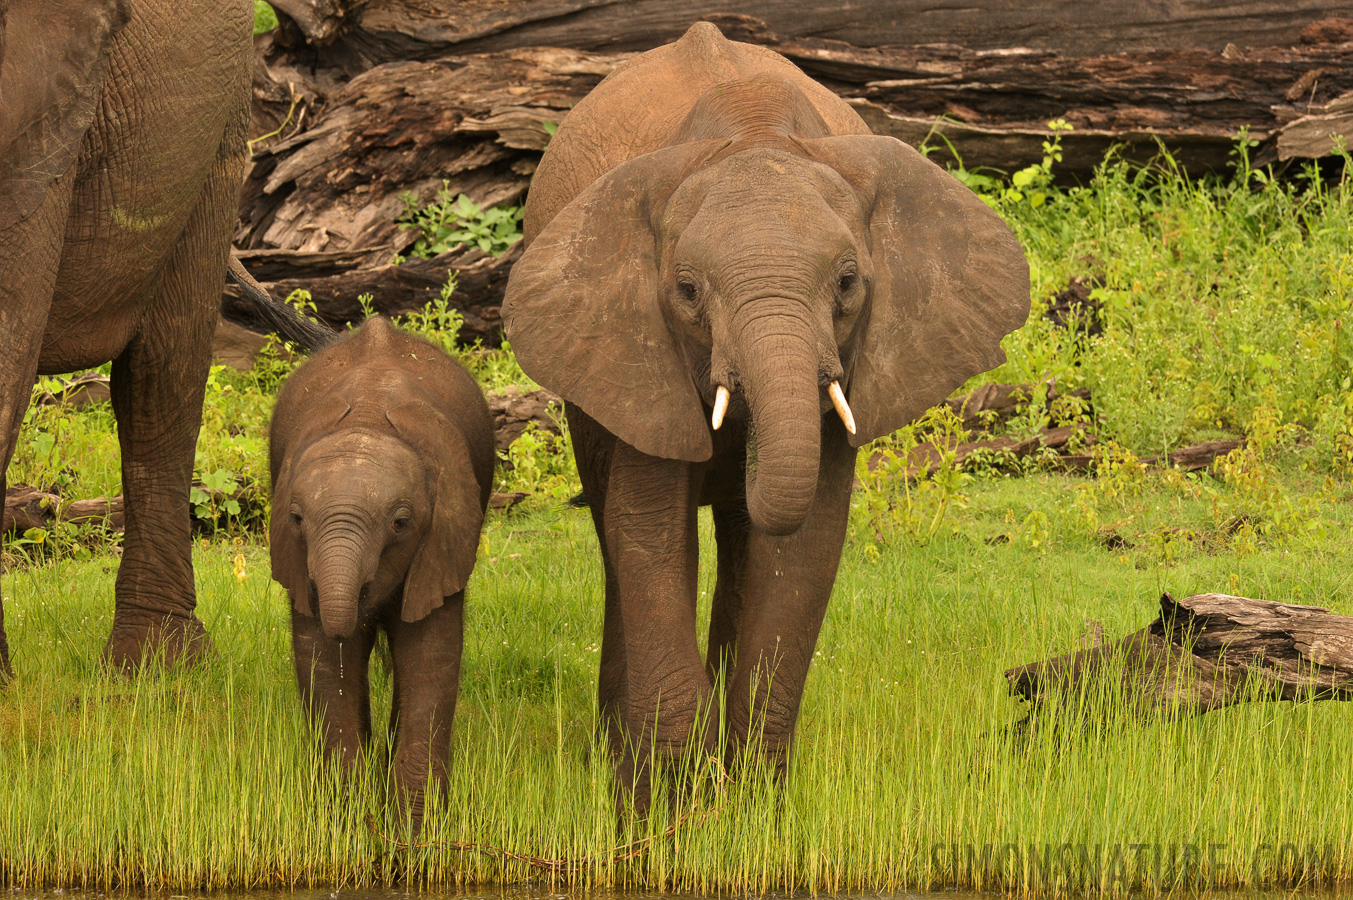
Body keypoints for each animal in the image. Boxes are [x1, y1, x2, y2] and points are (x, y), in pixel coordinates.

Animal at [266, 315, 495, 822]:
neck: (368, 419)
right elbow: (321, 659)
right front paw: (345, 820)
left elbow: (430, 653)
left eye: (400, 523)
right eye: (296, 519)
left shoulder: (444, 541)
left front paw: (413, 827)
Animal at [503, 24, 1028, 801]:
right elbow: (650, 531)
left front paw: (752, 796)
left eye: (848, 282)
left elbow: (801, 544)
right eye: (687, 291)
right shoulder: (635, 349)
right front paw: (666, 800)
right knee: (614, 531)